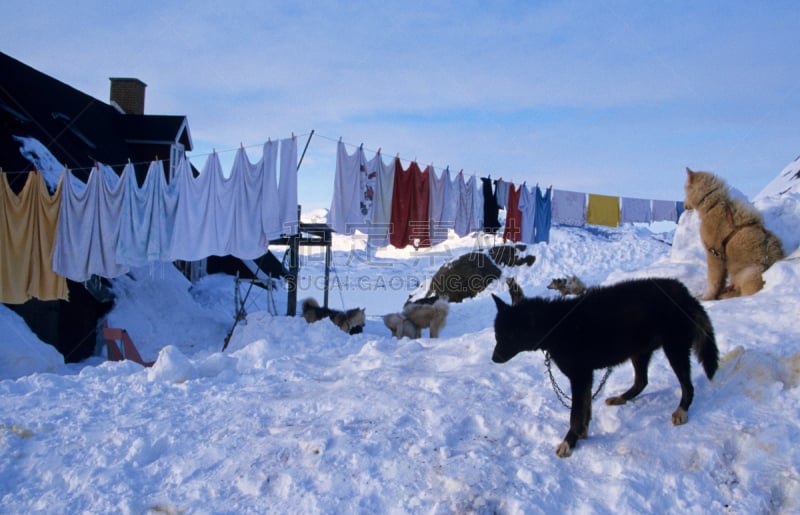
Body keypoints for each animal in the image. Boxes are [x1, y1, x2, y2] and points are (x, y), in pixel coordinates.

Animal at [490, 280, 720, 458]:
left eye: (508, 337)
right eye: (497, 336)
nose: (493, 358)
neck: (557, 326)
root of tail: (684, 292)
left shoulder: (580, 377)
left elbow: (575, 414)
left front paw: (569, 442)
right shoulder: (586, 378)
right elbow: (584, 410)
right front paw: (581, 433)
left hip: (674, 350)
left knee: (687, 386)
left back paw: (682, 410)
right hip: (639, 352)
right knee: (642, 381)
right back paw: (622, 397)